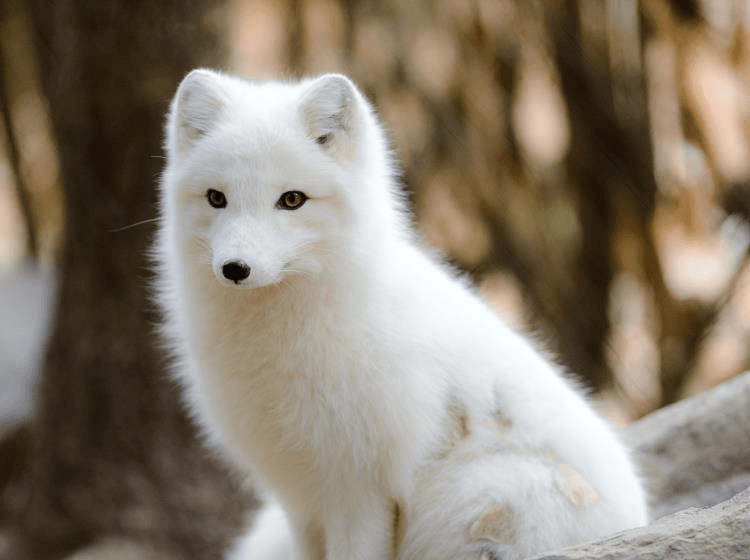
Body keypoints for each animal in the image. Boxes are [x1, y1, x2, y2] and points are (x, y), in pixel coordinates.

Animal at [153, 68, 648, 560]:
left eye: (292, 200)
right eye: (216, 198)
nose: (235, 269)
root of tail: (639, 518)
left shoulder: (361, 489)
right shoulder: (300, 496)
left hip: (475, 496)